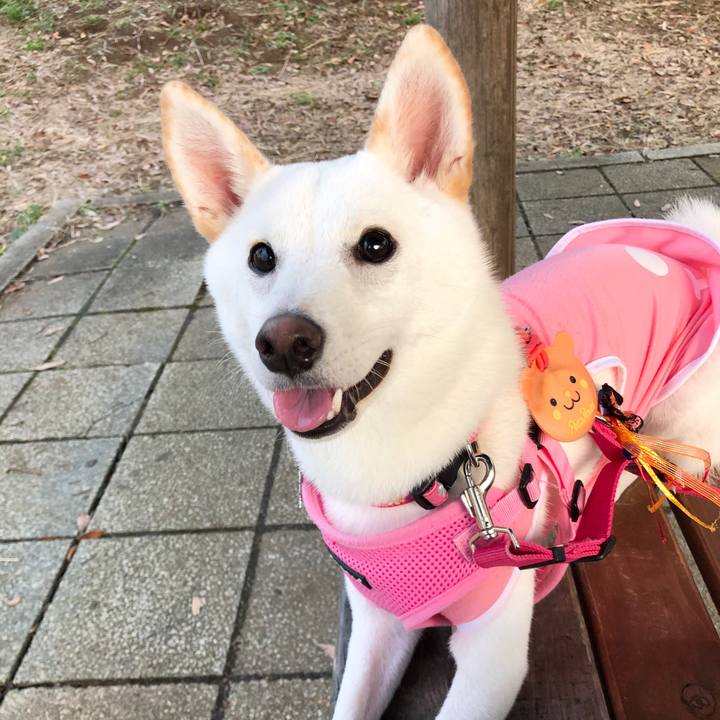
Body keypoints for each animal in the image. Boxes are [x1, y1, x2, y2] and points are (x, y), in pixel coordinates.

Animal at [160, 24, 720, 720]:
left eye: (376, 244)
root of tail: (690, 253)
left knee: (667, 457)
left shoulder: (491, 657)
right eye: (260, 257)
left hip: (683, 408)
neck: (402, 470)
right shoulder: (378, 623)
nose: (283, 343)